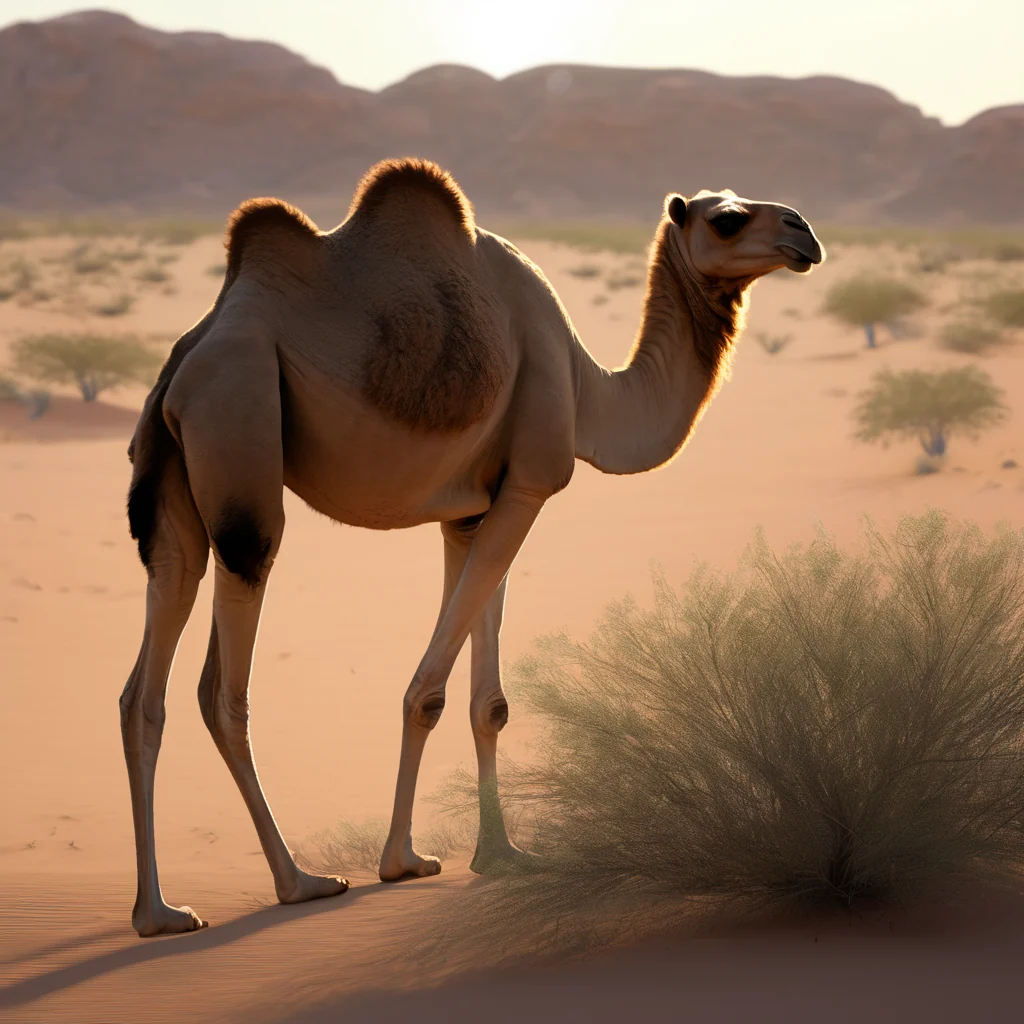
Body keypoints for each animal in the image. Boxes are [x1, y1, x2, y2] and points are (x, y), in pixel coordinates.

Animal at [120, 157, 824, 936]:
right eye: (726, 219)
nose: (804, 231)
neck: (586, 388)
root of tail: (184, 360)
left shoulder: (475, 508)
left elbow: (488, 700)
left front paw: (502, 855)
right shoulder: (533, 482)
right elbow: (427, 691)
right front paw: (401, 860)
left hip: (174, 485)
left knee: (149, 671)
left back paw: (157, 911)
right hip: (239, 423)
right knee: (226, 677)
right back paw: (299, 881)